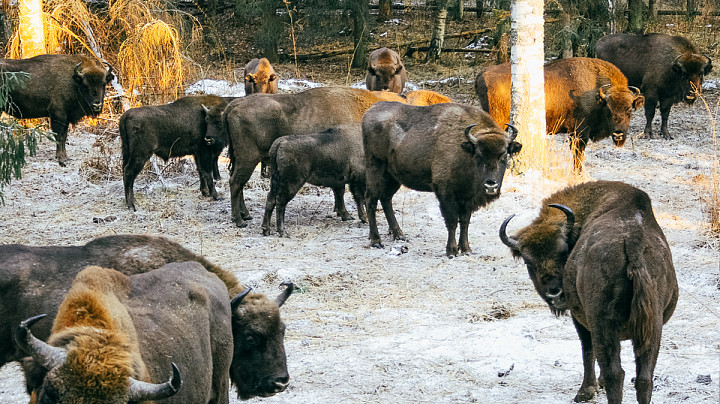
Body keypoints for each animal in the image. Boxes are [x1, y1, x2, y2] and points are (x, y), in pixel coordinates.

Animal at [362, 102, 520, 258]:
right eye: (479, 155)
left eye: (504, 155)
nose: (491, 185)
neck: (465, 152)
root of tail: (369, 111)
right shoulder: (445, 193)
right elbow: (452, 221)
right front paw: (452, 251)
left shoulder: (467, 198)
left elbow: (465, 222)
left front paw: (466, 249)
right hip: (375, 168)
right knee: (371, 199)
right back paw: (376, 241)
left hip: (393, 177)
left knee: (386, 199)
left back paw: (399, 235)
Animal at [476, 56, 644, 170]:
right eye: (608, 109)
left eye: (629, 109)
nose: (618, 134)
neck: (597, 93)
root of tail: (482, 74)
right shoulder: (578, 133)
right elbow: (577, 157)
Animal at [498, 181, 676, 404]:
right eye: (529, 262)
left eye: (563, 252)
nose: (555, 294)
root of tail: (633, 242)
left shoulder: (582, 319)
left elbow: (587, 350)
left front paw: (586, 391)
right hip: (653, 324)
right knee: (644, 377)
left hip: (603, 322)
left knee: (615, 373)